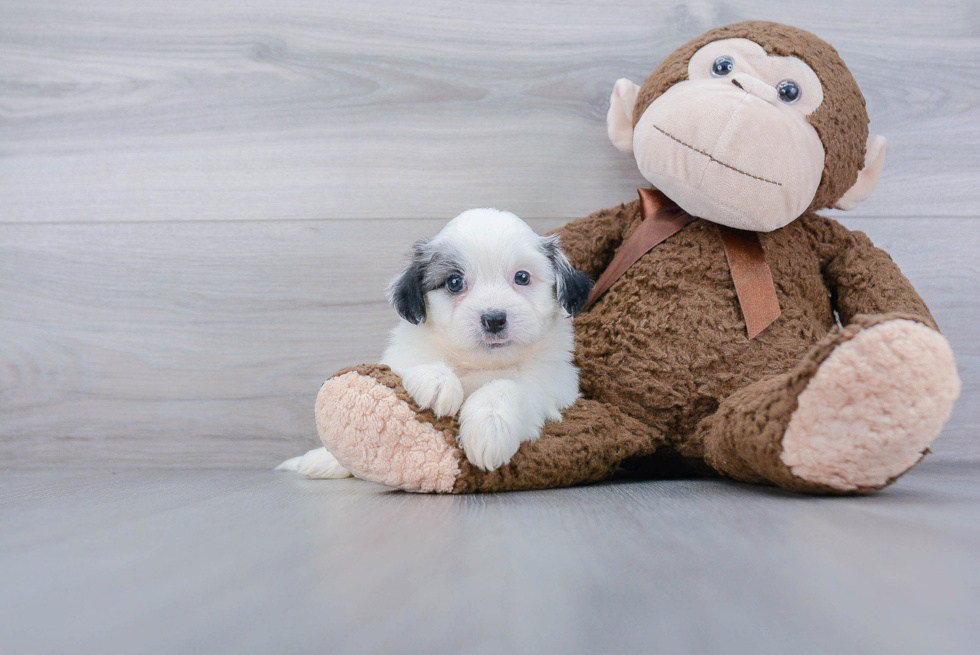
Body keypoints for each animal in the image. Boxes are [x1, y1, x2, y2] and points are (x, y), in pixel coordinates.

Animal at [280, 208, 592, 480]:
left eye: (523, 277)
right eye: (454, 282)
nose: (493, 319)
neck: (480, 365)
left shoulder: (555, 385)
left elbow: (510, 387)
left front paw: (489, 426)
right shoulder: (402, 357)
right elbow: (415, 364)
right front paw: (437, 382)